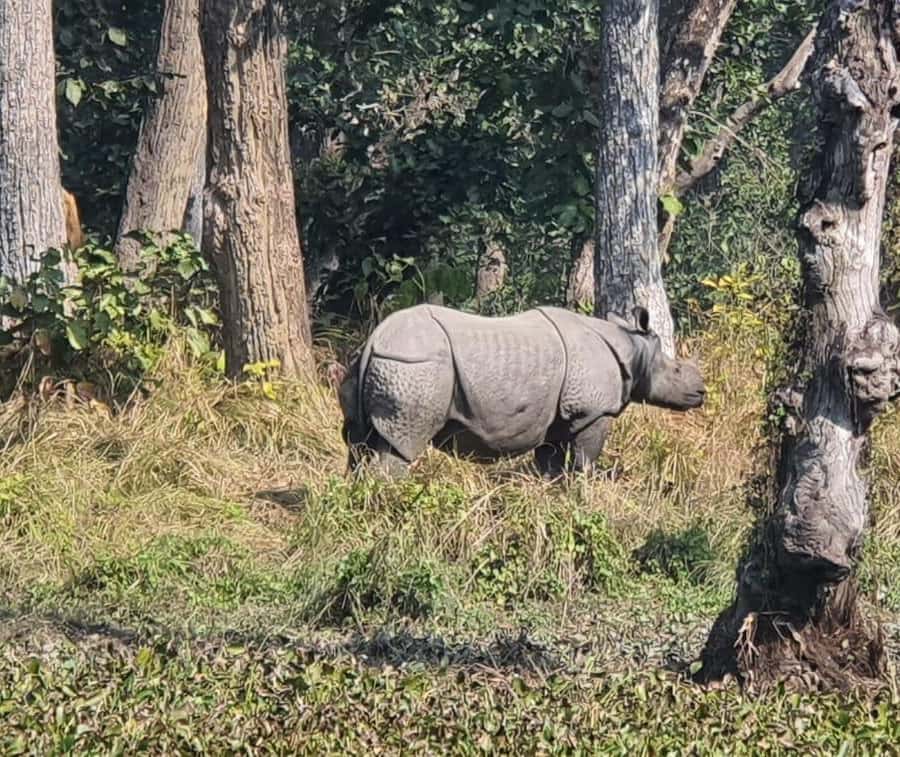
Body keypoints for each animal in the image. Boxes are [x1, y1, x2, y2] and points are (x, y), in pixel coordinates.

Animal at [331, 303, 705, 478]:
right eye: (675, 371)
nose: (701, 392)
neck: (631, 347)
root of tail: (376, 337)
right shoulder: (592, 411)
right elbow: (584, 460)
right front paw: (585, 491)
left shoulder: (559, 416)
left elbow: (551, 463)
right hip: (414, 368)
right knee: (402, 446)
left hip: (376, 367)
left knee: (359, 443)